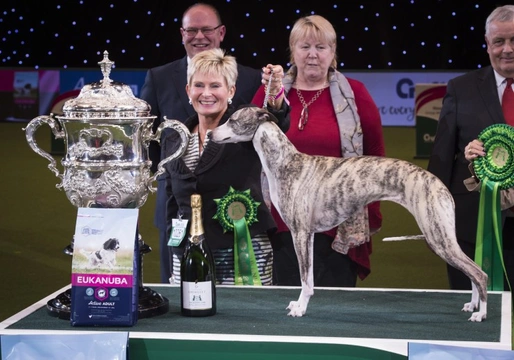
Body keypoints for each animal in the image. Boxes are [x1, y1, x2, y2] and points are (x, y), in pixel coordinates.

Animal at [207, 105, 484, 322]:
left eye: (232, 120)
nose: (210, 133)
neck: (286, 163)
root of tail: (441, 185)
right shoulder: (308, 234)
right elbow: (309, 279)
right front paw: (301, 303)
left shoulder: (299, 233)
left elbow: (304, 277)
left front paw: (300, 308)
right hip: (444, 237)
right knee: (471, 269)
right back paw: (473, 305)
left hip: (438, 237)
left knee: (479, 273)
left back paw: (481, 313)